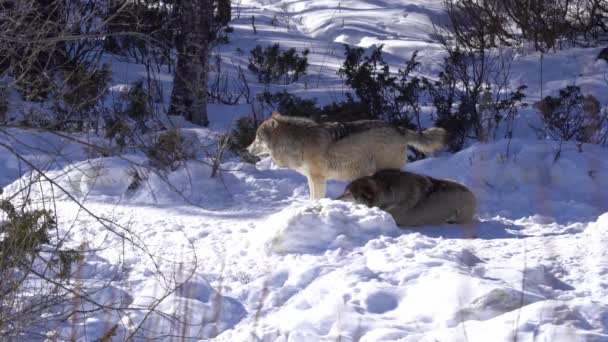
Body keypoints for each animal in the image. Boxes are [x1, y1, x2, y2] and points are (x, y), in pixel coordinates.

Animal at [246, 112, 446, 199]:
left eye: (256, 138)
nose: (247, 149)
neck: (297, 142)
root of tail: (399, 130)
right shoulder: (312, 178)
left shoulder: (318, 179)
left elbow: (316, 199)